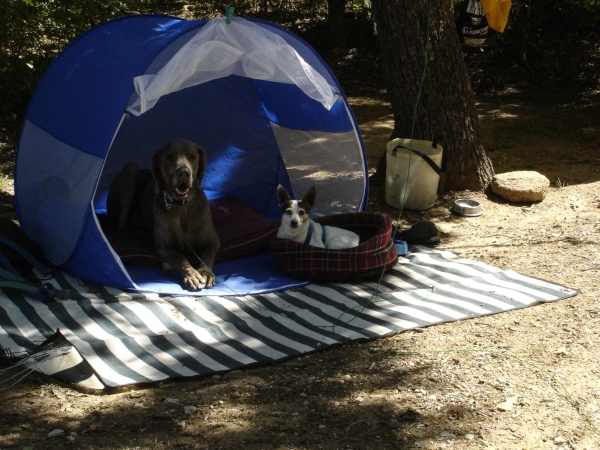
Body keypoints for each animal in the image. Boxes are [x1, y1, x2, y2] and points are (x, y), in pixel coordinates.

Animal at [107, 139, 220, 290]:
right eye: (168, 157)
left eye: (193, 157)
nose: (184, 173)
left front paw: (205, 274)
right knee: (120, 227)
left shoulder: (213, 243)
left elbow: (207, 255)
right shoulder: (163, 248)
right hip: (130, 170)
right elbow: (180, 258)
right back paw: (131, 236)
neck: (181, 206)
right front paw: (192, 275)